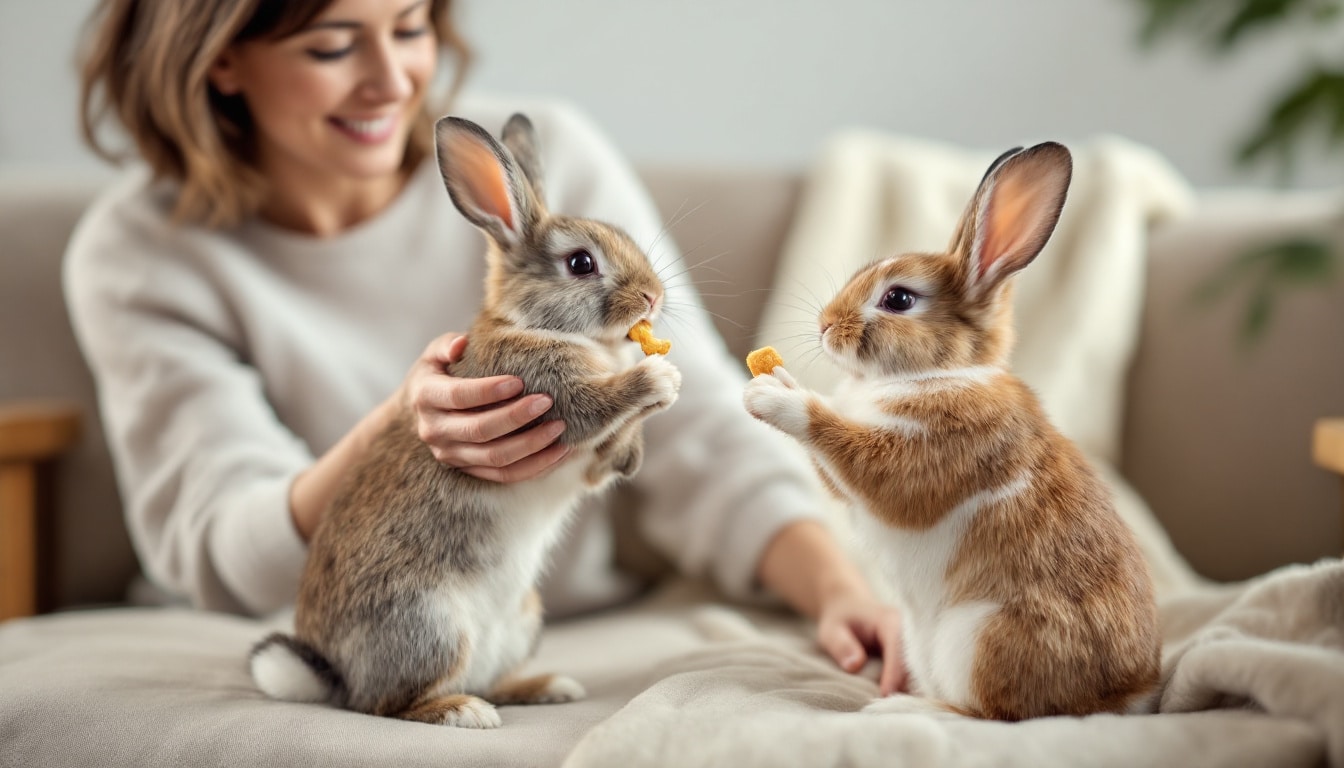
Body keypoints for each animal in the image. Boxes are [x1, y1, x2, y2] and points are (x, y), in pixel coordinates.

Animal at [248, 112, 682, 726]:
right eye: (581, 263)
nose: (652, 297)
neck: (536, 324)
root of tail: (336, 677)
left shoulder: (583, 460)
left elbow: (606, 459)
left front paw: (636, 445)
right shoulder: (546, 397)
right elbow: (596, 404)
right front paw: (659, 380)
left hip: (522, 621)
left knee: (484, 679)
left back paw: (545, 686)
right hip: (429, 625)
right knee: (389, 704)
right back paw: (462, 712)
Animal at [741, 142, 1161, 720]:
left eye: (898, 299)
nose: (825, 325)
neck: (936, 374)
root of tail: (1124, 697)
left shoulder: (920, 459)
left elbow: (843, 445)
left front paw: (771, 397)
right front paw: (776, 377)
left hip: (981, 641)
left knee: (992, 715)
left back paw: (900, 710)